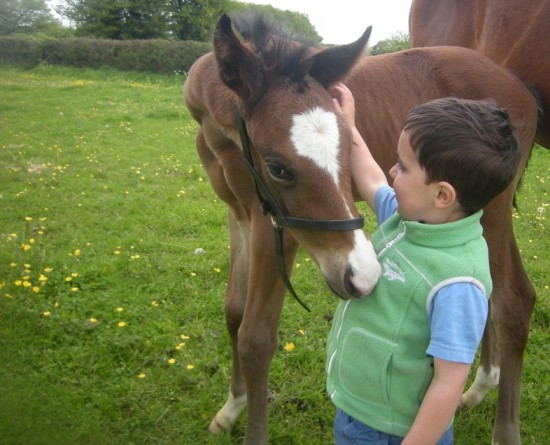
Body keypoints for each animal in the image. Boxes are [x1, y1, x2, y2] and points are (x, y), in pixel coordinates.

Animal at [184, 13, 540, 444]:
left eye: (347, 150)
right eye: (277, 168)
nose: (362, 275)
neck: (219, 135)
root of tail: (520, 88)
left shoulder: (275, 226)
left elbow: (256, 336)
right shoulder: (238, 216)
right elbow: (234, 312)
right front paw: (231, 406)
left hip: (493, 210)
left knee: (515, 301)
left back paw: (503, 427)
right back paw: (480, 385)